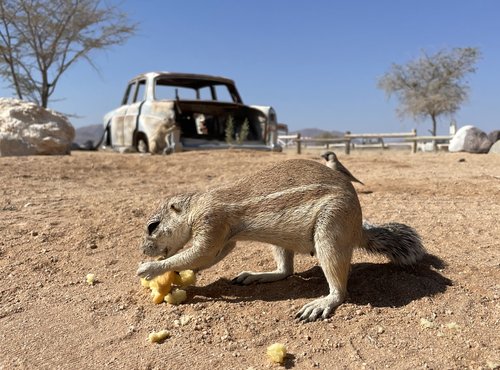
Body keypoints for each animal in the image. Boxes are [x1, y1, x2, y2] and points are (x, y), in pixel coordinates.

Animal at [138, 159, 426, 320]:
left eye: (153, 226)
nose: (143, 249)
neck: (197, 206)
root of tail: (358, 230)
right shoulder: (224, 238)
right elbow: (212, 255)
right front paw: (182, 272)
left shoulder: (211, 222)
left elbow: (202, 252)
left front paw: (150, 268)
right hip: (280, 241)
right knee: (285, 271)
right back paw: (256, 275)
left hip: (331, 231)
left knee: (340, 289)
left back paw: (322, 303)